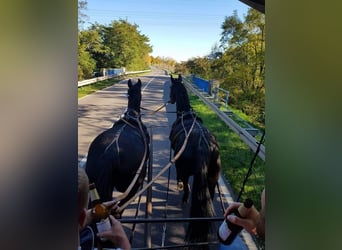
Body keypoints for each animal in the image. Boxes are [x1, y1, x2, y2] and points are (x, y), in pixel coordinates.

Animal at [169, 73, 222, 246]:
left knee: (186, 185)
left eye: (171, 88)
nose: (170, 100)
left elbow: (182, 180)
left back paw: (184, 197)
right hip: (212, 177)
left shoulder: (179, 164)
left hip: (186, 171)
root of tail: (203, 147)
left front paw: (179, 186)